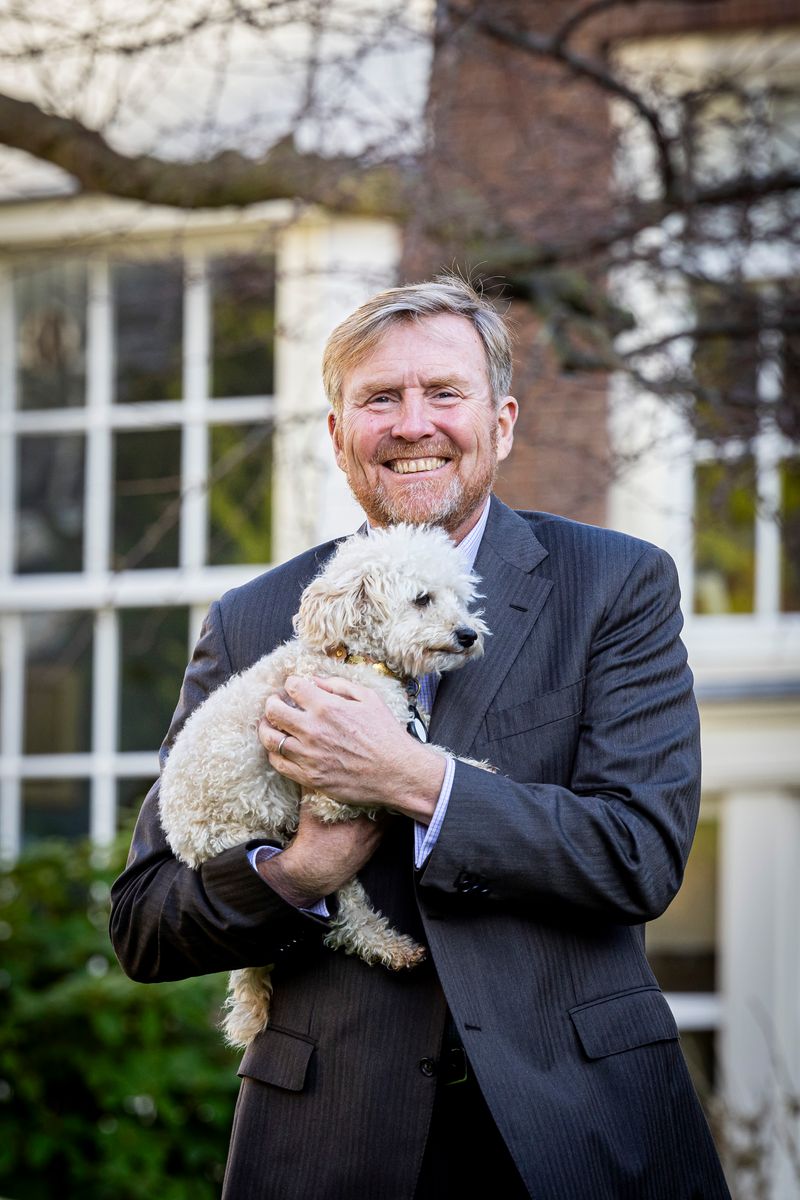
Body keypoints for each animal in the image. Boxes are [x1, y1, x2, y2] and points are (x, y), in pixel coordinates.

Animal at [158, 520, 489, 1046]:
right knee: (338, 917)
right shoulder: (333, 792)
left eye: (459, 596)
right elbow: (422, 758)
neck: (355, 658)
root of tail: (184, 842)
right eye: (422, 599)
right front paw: (475, 767)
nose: (468, 634)